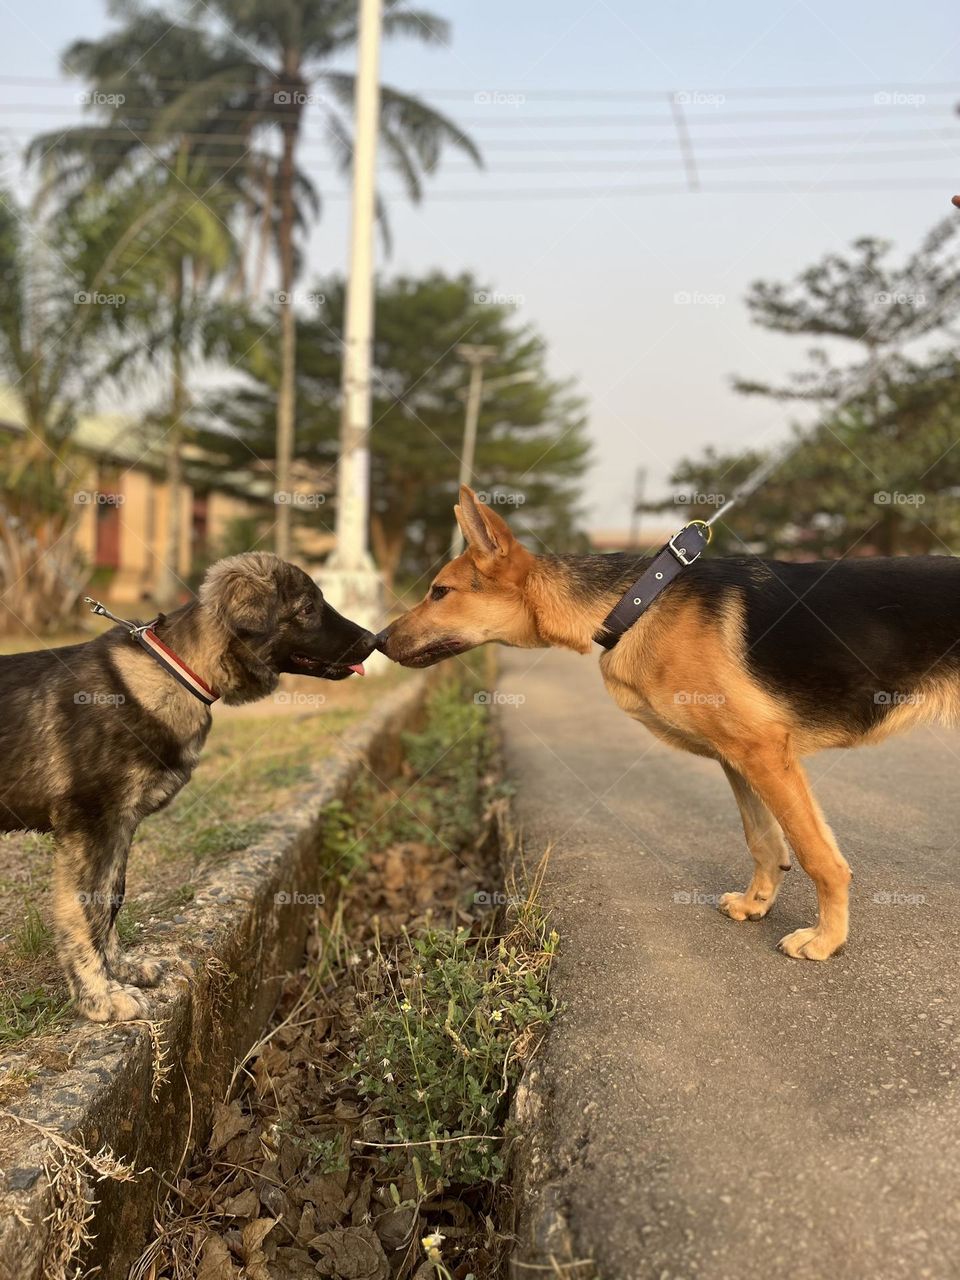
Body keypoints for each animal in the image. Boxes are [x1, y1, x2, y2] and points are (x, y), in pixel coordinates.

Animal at [0, 555, 376, 1024]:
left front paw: (119, 969)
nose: (375, 640)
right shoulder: (90, 824)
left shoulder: (119, 826)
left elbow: (111, 898)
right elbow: (85, 908)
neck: (179, 671)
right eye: (308, 607)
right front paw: (99, 998)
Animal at [378, 486, 960, 962]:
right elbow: (764, 841)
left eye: (439, 592)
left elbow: (818, 855)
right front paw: (757, 903)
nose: (377, 641)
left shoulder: (764, 751)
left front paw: (827, 940)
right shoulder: (738, 757)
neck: (635, 602)